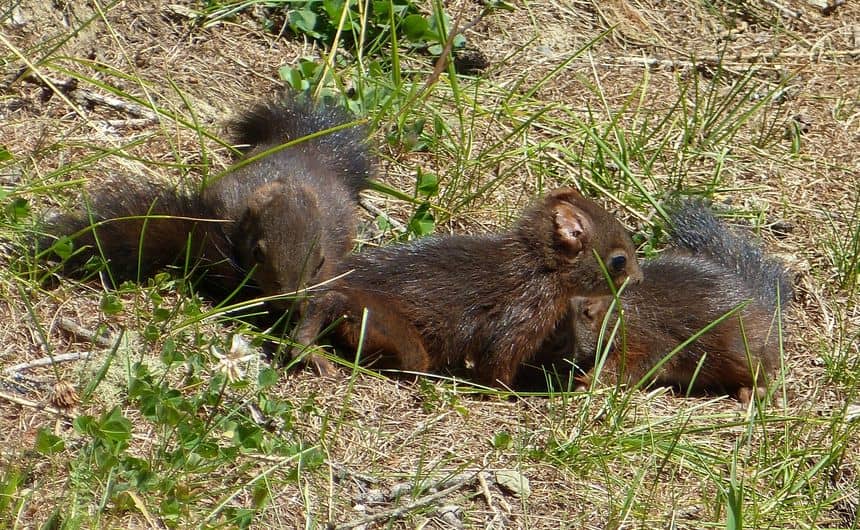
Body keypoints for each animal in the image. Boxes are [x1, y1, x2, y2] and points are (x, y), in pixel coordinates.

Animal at [292, 188, 640, 386]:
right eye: (619, 260)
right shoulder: (517, 322)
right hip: (388, 328)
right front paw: (509, 395)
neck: (539, 269)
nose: (639, 279)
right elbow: (496, 367)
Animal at [544, 199, 792, 400]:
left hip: (745, 351)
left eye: (560, 343)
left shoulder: (646, 339)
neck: (615, 312)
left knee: (762, 372)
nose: (543, 375)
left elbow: (628, 366)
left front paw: (586, 383)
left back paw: (754, 391)